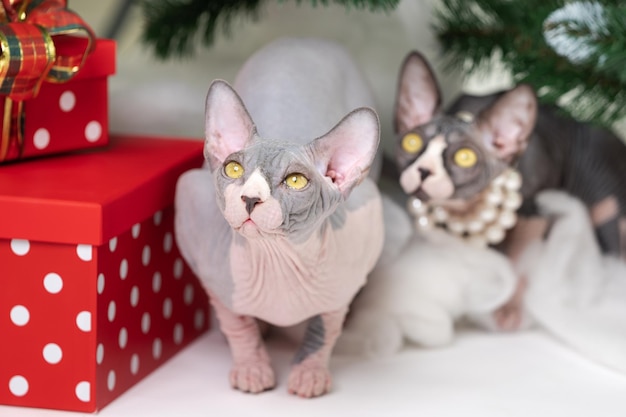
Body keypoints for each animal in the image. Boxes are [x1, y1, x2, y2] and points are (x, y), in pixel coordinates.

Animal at [173, 36, 382, 396]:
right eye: (233, 168)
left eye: (295, 181)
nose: (250, 198)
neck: (278, 259)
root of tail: (305, 37)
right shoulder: (195, 229)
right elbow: (237, 322)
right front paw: (252, 367)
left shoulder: (356, 261)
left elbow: (325, 328)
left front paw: (309, 373)